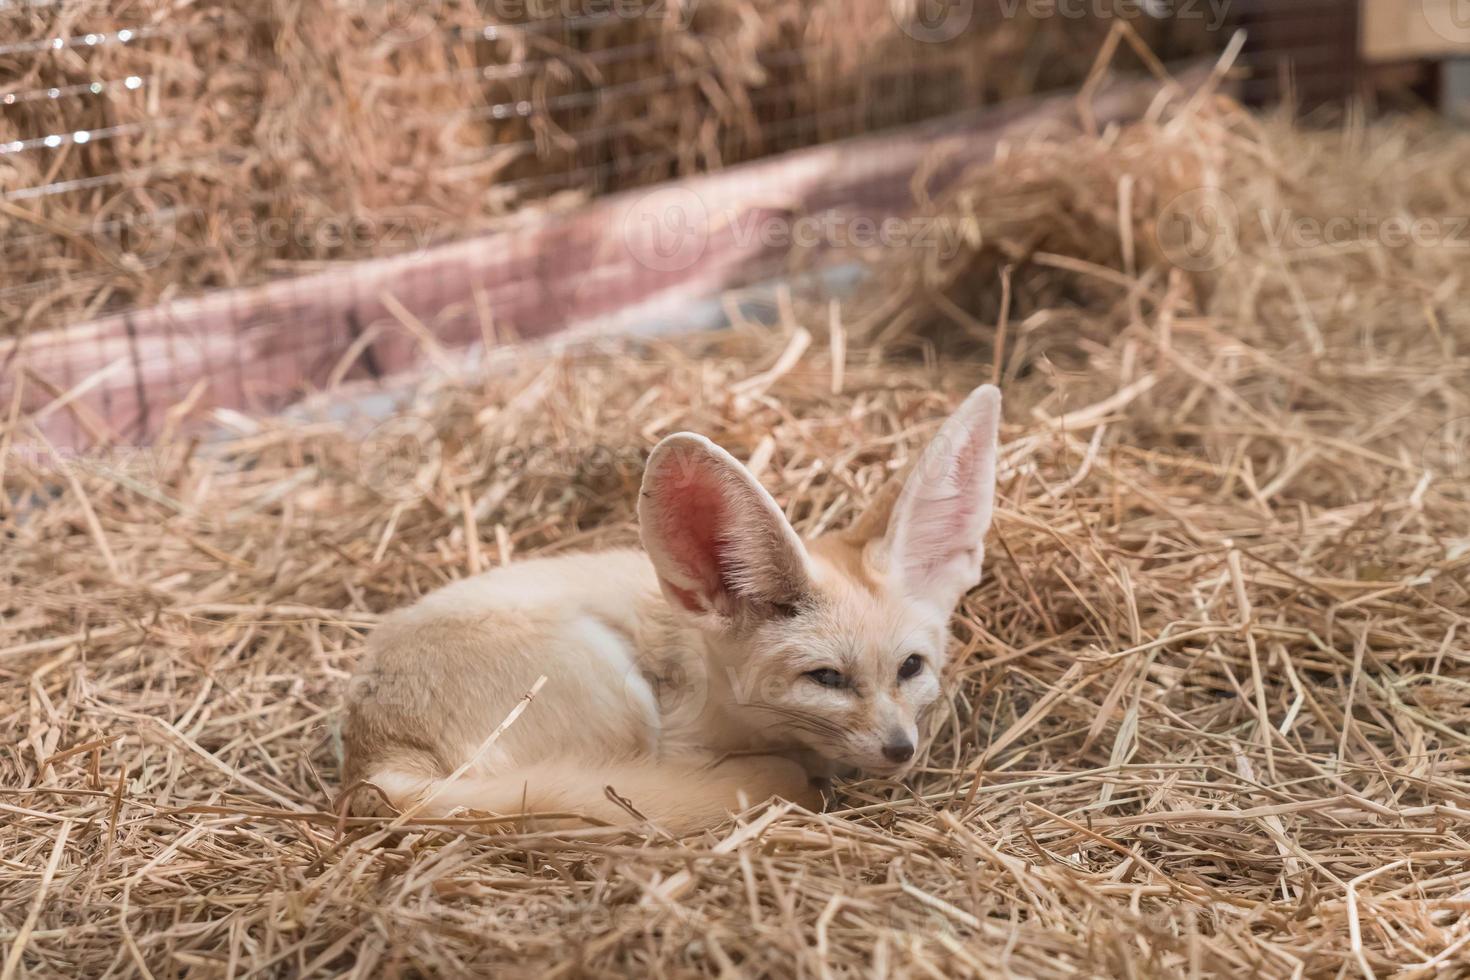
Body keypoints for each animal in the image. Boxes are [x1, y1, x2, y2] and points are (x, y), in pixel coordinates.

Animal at [342, 382, 1005, 828]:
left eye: (911, 668)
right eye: (826, 678)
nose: (901, 749)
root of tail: (374, 755)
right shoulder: (679, 745)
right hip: (613, 689)